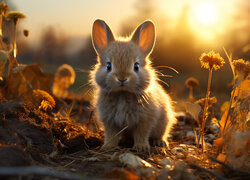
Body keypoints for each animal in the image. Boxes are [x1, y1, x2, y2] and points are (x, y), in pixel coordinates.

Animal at [89, 19, 176, 152]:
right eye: (108, 66)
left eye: (136, 66)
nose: (122, 78)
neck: (122, 93)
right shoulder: (110, 121)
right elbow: (111, 134)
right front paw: (108, 147)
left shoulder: (144, 120)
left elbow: (141, 134)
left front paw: (141, 147)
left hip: (164, 123)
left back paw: (159, 142)